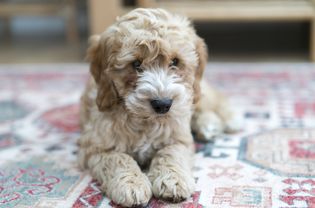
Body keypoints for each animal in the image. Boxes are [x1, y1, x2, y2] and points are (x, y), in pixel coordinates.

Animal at [78, 7, 241, 206]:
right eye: (136, 64)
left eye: (175, 62)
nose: (163, 104)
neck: (146, 121)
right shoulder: (94, 147)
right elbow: (118, 158)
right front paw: (131, 185)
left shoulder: (179, 138)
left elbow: (170, 152)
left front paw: (173, 180)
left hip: (195, 93)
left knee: (212, 102)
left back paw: (215, 122)